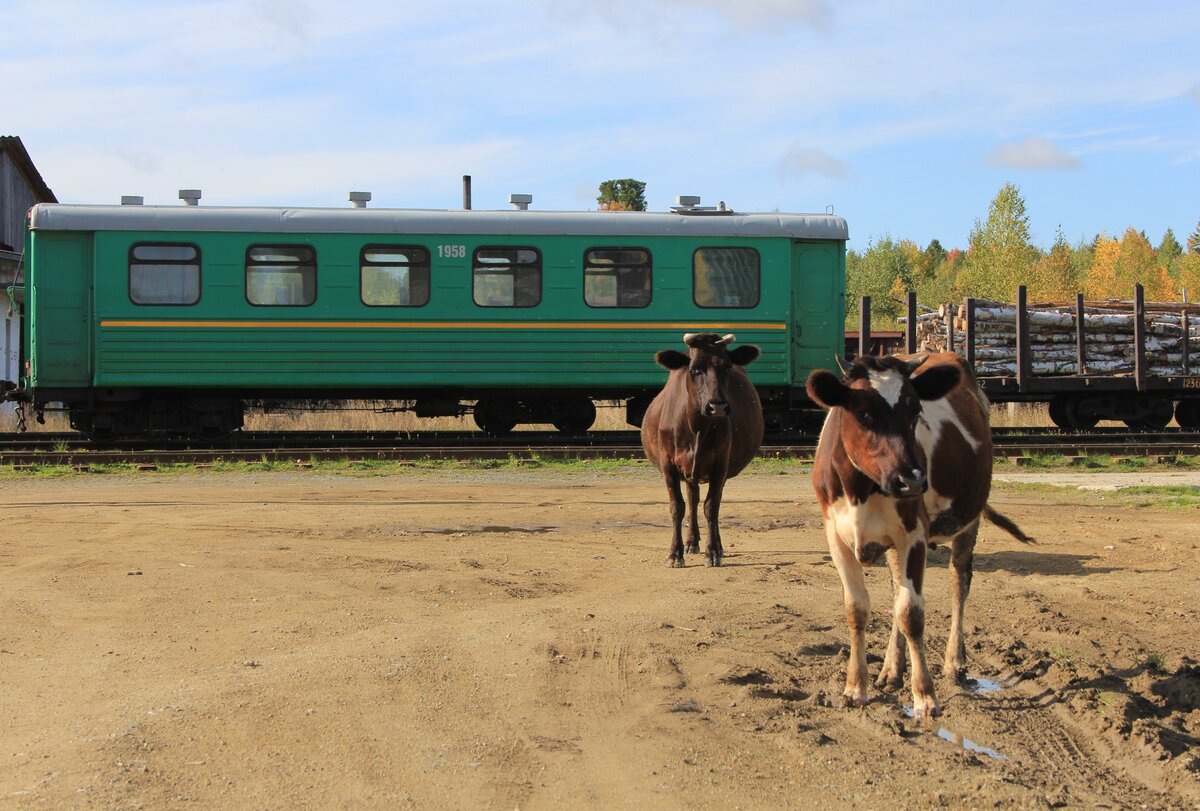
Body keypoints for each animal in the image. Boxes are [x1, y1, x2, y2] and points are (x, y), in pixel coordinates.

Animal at [643, 333, 763, 566]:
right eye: (695, 370)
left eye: (726, 367)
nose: (718, 407)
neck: (696, 426)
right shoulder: (668, 465)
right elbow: (677, 507)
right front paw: (675, 553)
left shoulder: (720, 464)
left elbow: (712, 506)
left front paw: (713, 551)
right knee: (692, 498)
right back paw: (691, 541)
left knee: (708, 501)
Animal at [801, 352, 1027, 715]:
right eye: (864, 413)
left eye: (915, 409)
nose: (912, 480)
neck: (860, 489)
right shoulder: (835, 536)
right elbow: (857, 609)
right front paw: (856, 686)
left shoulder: (915, 533)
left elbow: (912, 613)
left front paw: (925, 695)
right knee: (898, 590)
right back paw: (892, 669)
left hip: (968, 519)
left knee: (958, 582)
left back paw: (954, 662)